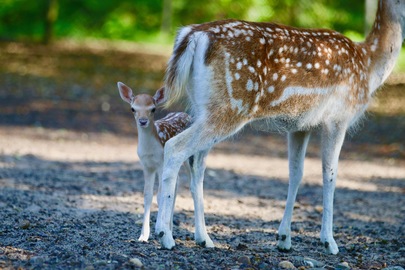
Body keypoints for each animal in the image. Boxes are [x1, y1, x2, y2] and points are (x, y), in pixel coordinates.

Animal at [117, 82, 193, 243]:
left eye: (153, 108)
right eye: (133, 108)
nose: (143, 121)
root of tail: (185, 114)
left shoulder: (160, 164)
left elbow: (159, 195)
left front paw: (159, 231)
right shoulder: (146, 165)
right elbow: (147, 195)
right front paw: (143, 236)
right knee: (176, 185)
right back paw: (170, 229)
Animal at [154, 0, 404, 255]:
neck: (368, 65)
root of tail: (192, 34)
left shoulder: (300, 126)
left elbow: (296, 173)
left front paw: (284, 238)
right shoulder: (337, 117)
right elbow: (330, 174)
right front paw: (329, 242)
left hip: (202, 107)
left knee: (197, 162)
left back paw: (204, 238)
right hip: (230, 107)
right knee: (175, 147)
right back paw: (165, 235)